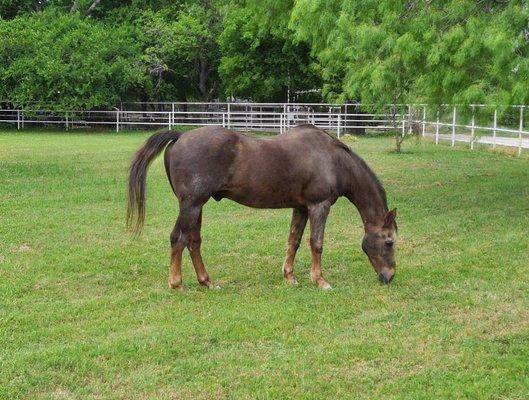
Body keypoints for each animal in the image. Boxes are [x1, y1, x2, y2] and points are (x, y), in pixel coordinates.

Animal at [128, 124, 396, 290]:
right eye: (389, 242)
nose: (390, 276)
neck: (333, 160)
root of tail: (181, 136)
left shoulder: (301, 208)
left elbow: (294, 241)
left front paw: (289, 277)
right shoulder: (318, 206)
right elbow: (316, 244)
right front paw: (320, 281)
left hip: (196, 207)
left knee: (193, 241)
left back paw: (207, 282)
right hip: (191, 205)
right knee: (178, 238)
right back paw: (177, 284)